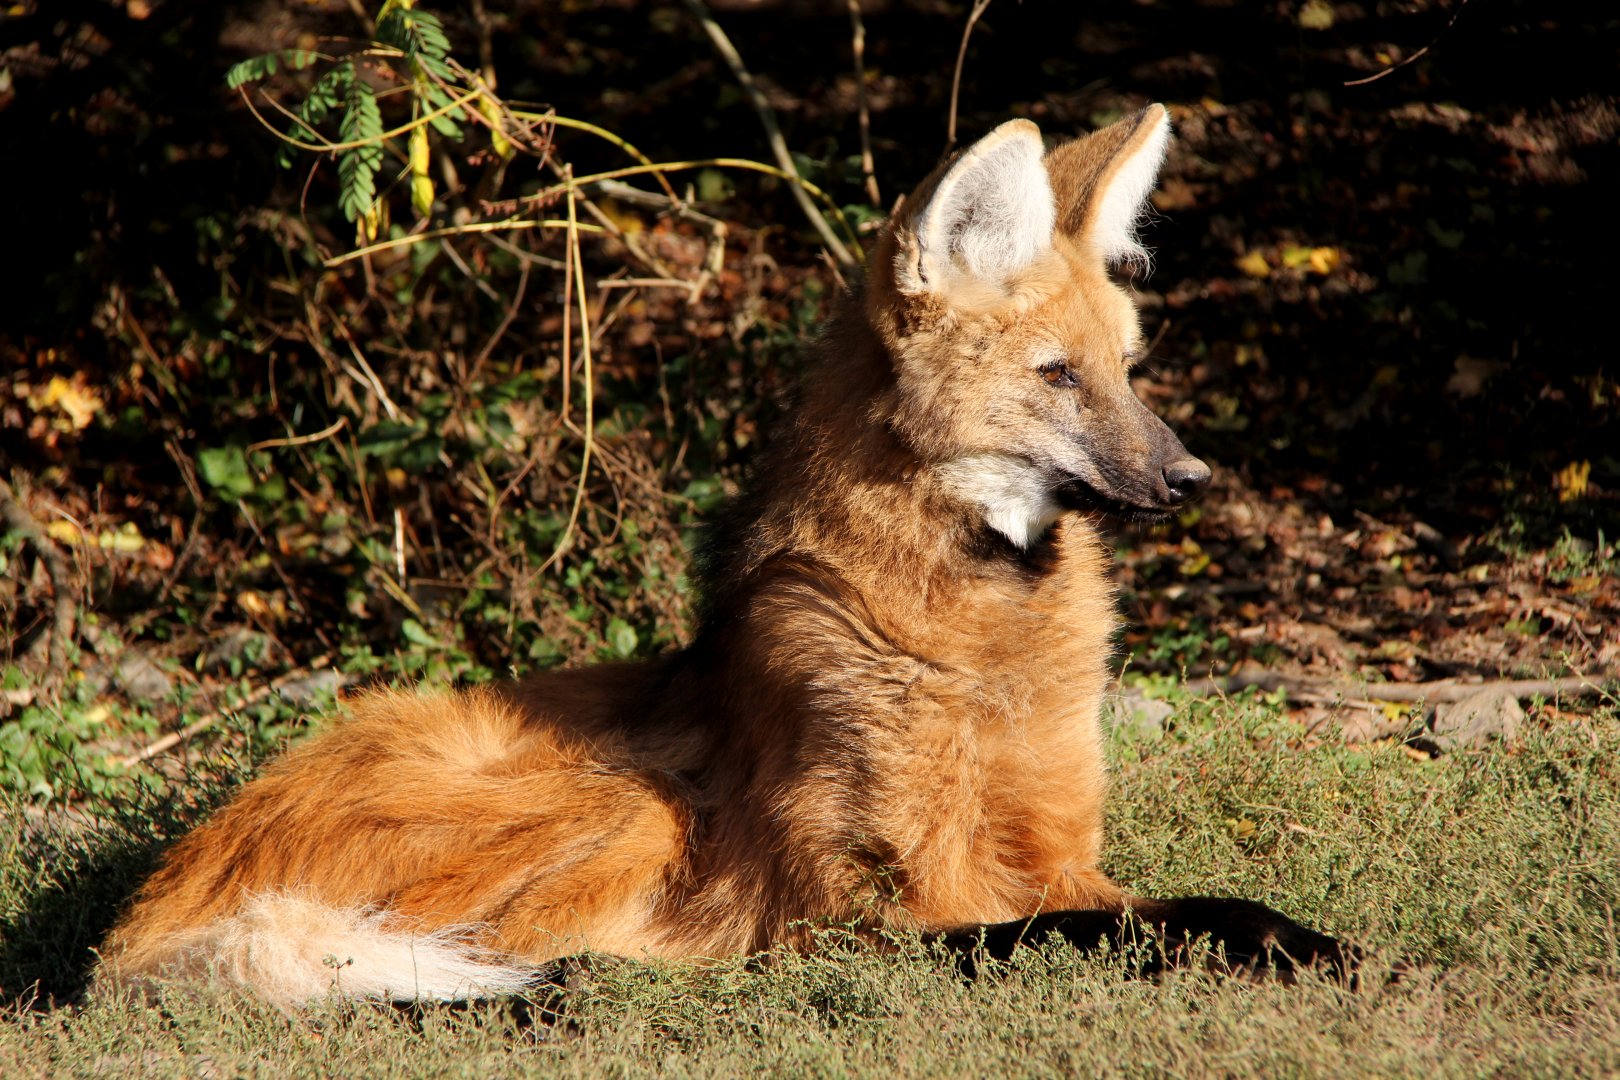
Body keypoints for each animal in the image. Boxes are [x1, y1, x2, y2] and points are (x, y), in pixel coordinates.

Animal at [98, 105, 1351, 1008]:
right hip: (633, 803)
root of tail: (151, 903)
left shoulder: (1053, 854)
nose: (1194, 479)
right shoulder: (849, 916)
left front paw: (1318, 943)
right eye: (1057, 376)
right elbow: (1083, 933)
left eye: (1129, 371)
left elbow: (1195, 906)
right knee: (448, 958)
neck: (978, 640)